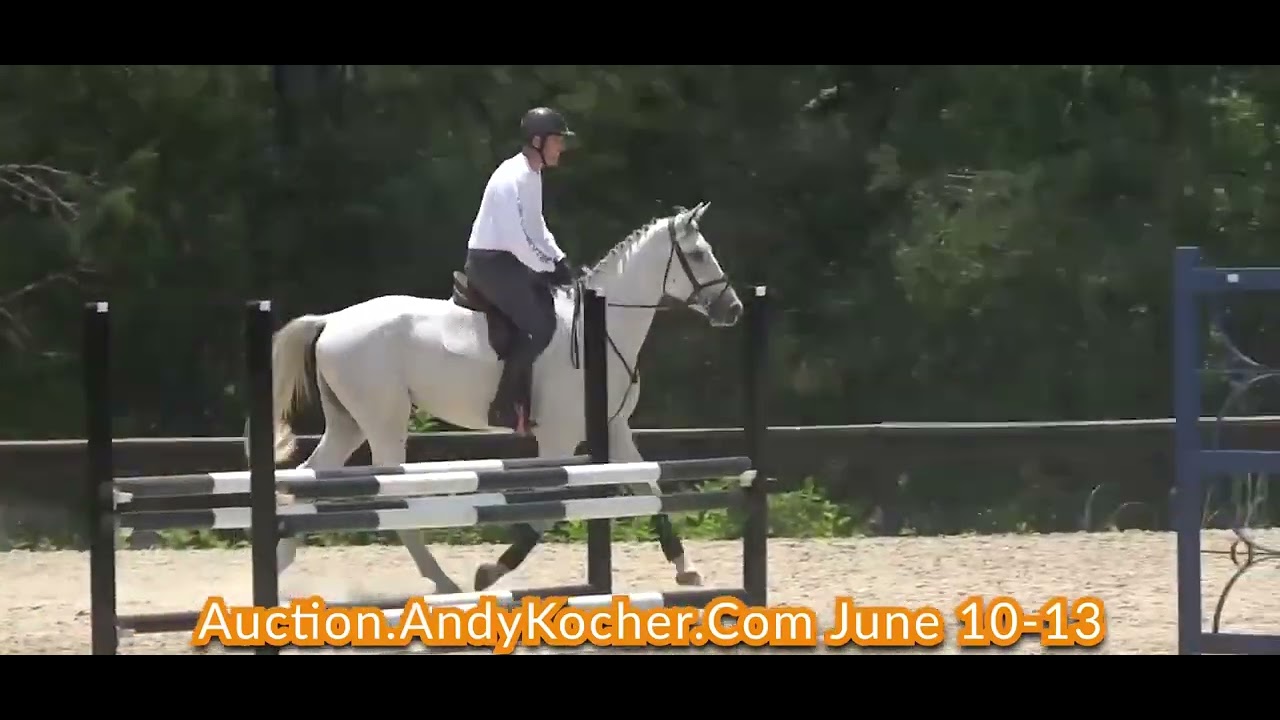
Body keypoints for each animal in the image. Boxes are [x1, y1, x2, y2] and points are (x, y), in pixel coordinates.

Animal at [255, 201, 742, 594]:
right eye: (698, 255)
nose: (733, 309)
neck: (601, 331)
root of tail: (332, 320)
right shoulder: (559, 441)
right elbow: (546, 512)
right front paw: (489, 572)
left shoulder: (613, 428)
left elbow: (650, 487)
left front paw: (686, 569)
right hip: (384, 423)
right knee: (393, 498)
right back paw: (444, 582)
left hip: (349, 424)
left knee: (307, 479)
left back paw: (281, 563)